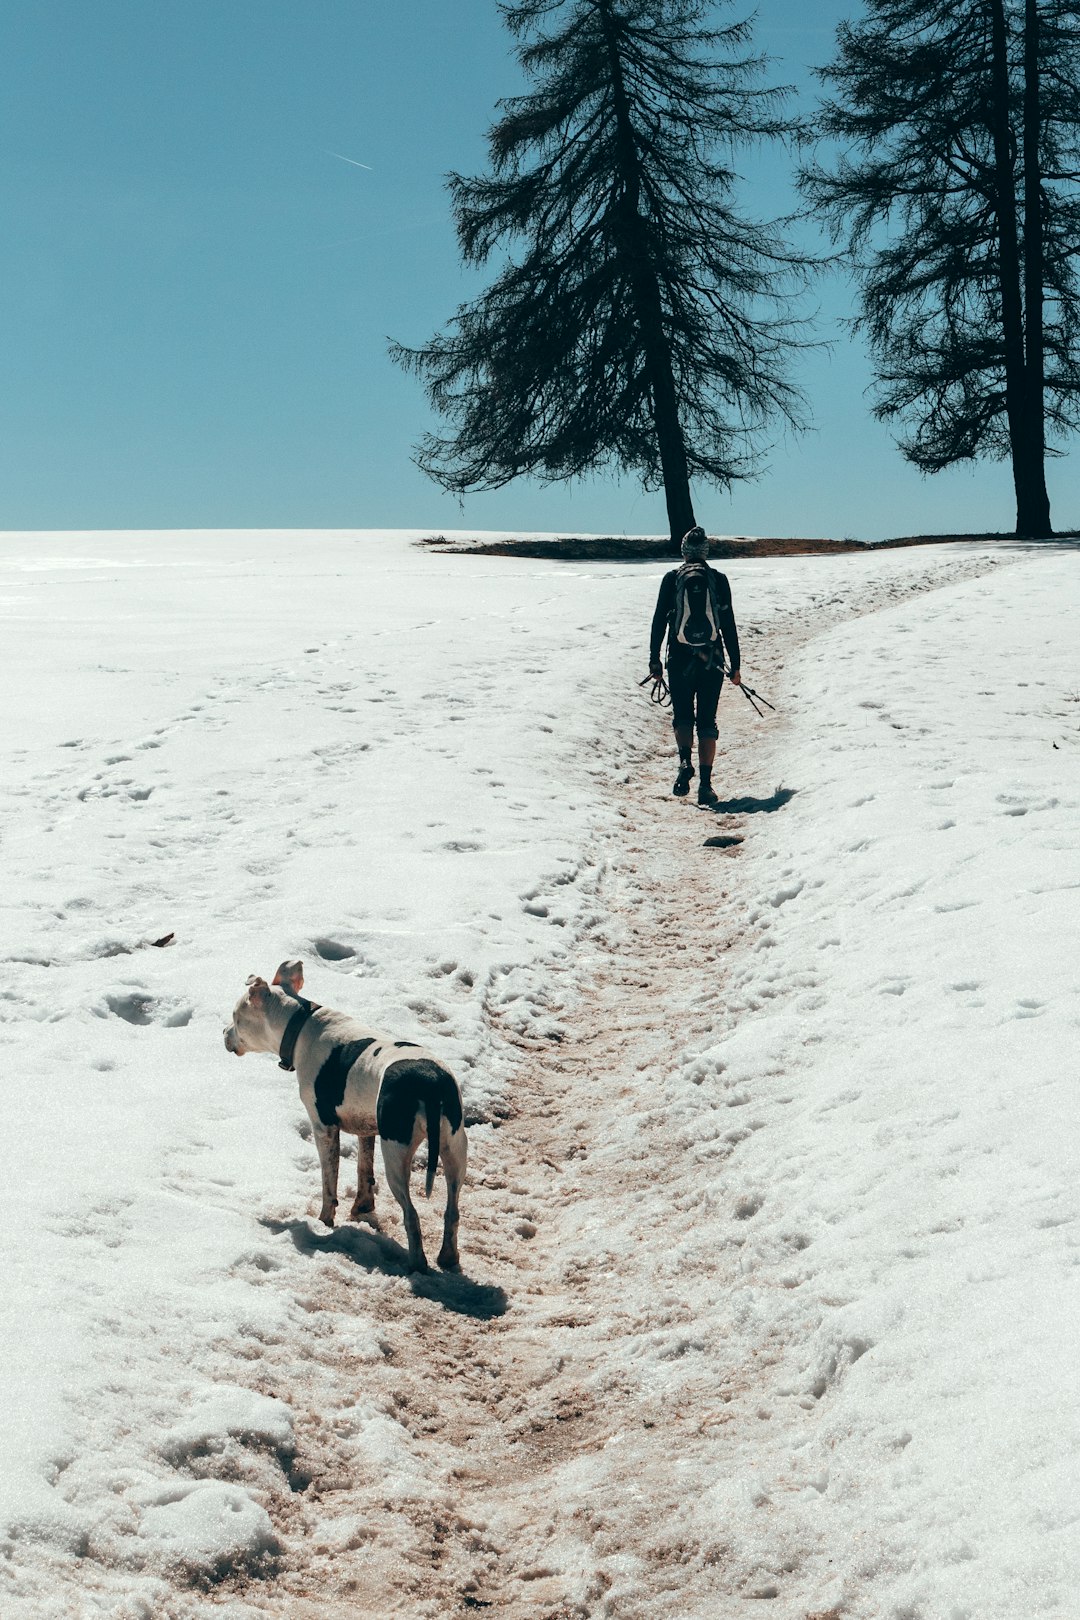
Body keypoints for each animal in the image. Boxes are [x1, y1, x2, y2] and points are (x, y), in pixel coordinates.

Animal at [223, 952, 469, 1270]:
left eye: (235, 1017)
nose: (223, 1033)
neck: (300, 1027)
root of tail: (432, 1081)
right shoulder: (367, 1128)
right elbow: (364, 1169)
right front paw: (361, 1208)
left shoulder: (324, 1128)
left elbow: (330, 1180)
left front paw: (324, 1220)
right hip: (455, 1149)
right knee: (452, 1210)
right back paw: (447, 1258)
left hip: (397, 1153)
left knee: (411, 1214)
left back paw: (417, 1264)